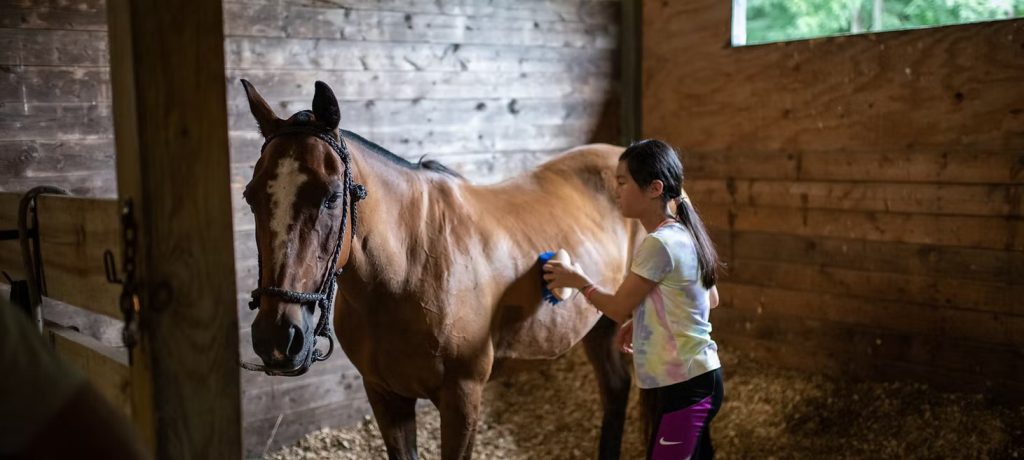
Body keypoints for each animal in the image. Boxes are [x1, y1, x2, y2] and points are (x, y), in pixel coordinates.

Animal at [241, 79, 643, 460]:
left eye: (332, 197)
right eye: (250, 196)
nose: (277, 337)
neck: (408, 271)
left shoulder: (461, 399)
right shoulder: (385, 395)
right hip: (599, 326)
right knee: (616, 388)